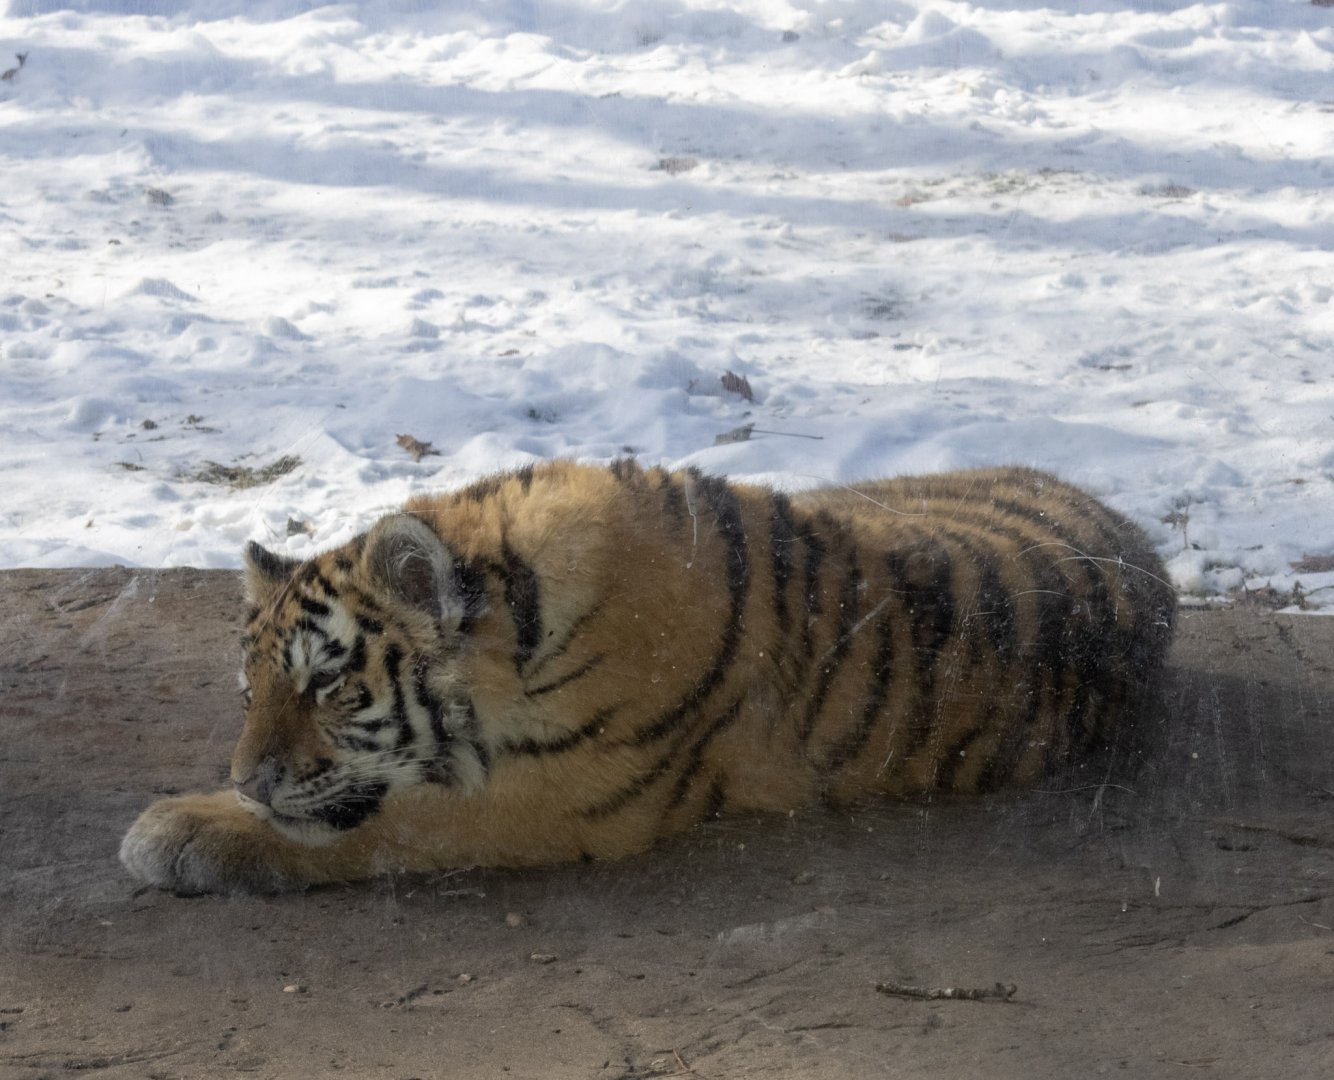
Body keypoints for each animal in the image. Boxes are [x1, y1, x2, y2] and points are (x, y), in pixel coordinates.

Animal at [119, 459, 1175, 894]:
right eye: (250, 693)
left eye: (328, 688)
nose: (251, 779)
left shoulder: (564, 795)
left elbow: (383, 828)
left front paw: (178, 829)